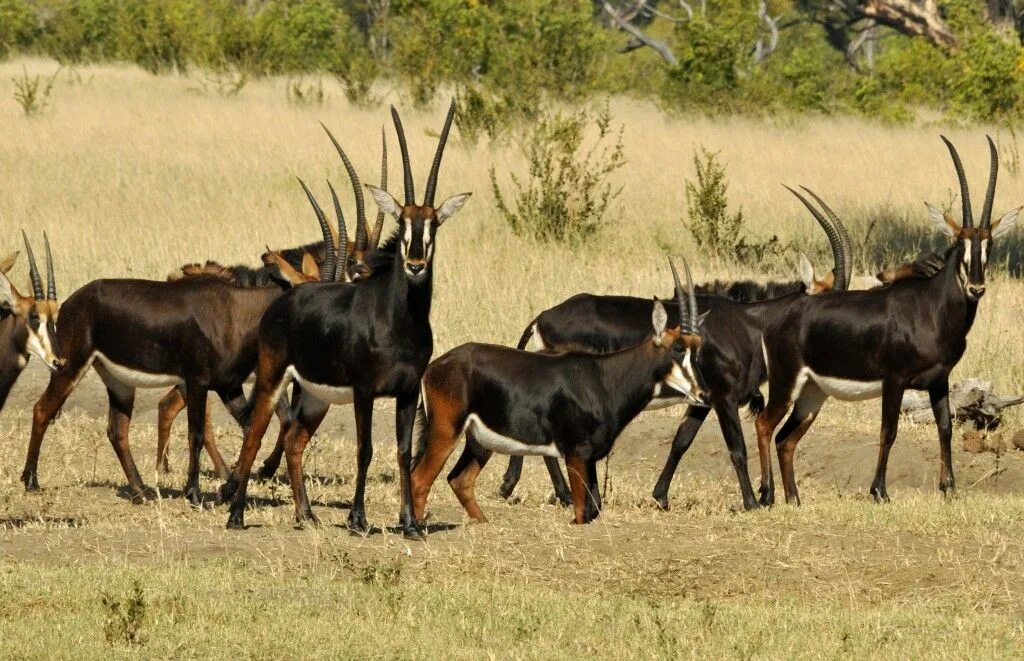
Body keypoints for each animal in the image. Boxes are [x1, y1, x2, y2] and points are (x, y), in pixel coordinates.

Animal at [222, 102, 468, 540]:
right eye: (403, 221)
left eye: (433, 223)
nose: (416, 264)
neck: (399, 322)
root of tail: (285, 299)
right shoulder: (365, 391)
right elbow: (365, 449)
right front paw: (358, 519)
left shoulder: (407, 392)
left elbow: (403, 452)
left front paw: (410, 524)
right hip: (272, 379)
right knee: (254, 435)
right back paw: (236, 516)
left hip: (315, 396)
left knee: (294, 440)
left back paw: (306, 515)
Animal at [407, 261, 704, 523]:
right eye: (677, 348)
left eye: (697, 345)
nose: (702, 394)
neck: (604, 377)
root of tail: (435, 367)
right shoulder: (576, 455)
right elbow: (583, 512)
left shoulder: (589, 458)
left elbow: (594, 509)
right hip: (446, 432)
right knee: (418, 480)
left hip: (478, 442)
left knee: (458, 480)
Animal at [495, 201, 847, 513]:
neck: (749, 324)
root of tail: (542, 318)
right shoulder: (724, 398)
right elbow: (736, 448)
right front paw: (751, 503)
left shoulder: (701, 401)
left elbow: (681, 441)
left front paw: (660, 497)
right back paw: (562, 495)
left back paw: (548, 492)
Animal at [753, 136, 1015, 507]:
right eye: (960, 243)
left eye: (988, 244)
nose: (976, 288)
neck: (931, 308)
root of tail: (779, 317)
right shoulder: (895, 381)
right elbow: (888, 431)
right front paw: (879, 491)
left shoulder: (939, 381)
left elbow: (945, 427)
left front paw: (949, 487)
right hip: (786, 382)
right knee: (764, 425)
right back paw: (765, 495)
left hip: (813, 393)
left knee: (785, 438)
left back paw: (794, 499)